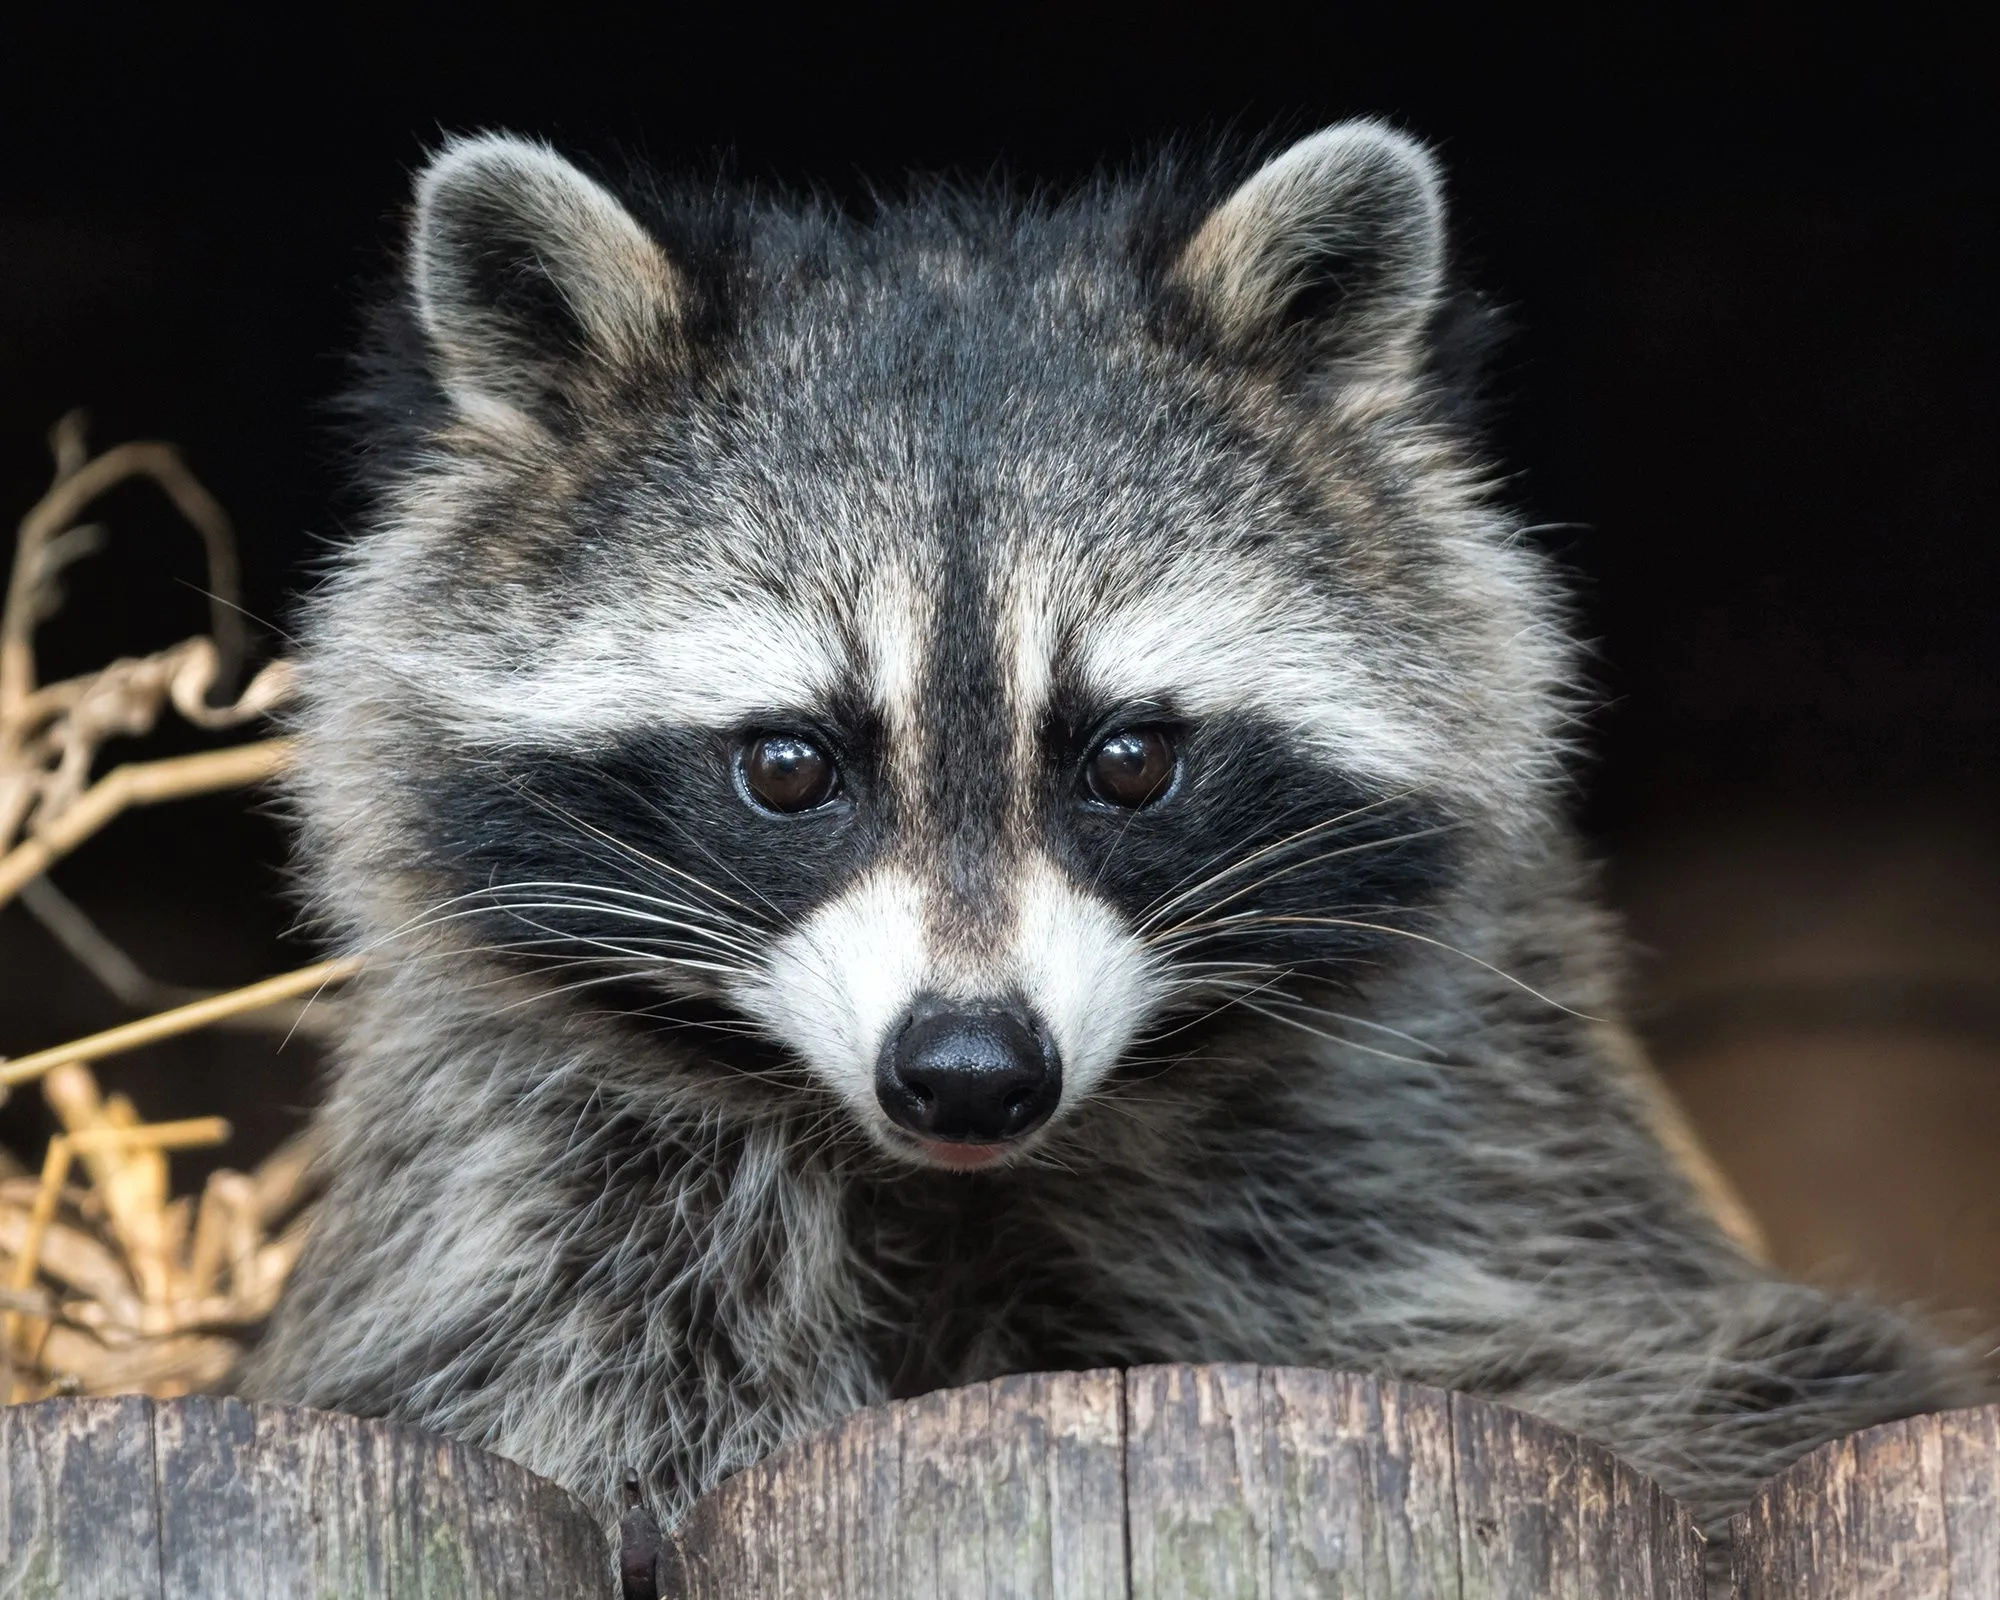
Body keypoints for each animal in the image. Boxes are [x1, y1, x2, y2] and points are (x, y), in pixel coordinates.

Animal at [251, 122, 1979, 1552]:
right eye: (791, 767)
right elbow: (569, 1379)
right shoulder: (528, 1182)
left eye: (1130, 759)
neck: (953, 1181)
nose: (967, 1071)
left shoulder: (1447, 1149)